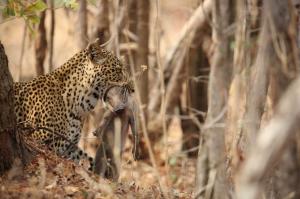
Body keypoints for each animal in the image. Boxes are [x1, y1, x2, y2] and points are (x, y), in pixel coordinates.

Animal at [14, 39, 134, 171]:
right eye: (118, 70)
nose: (133, 89)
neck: (80, 103)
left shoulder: (69, 147)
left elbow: (87, 159)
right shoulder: (40, 140)